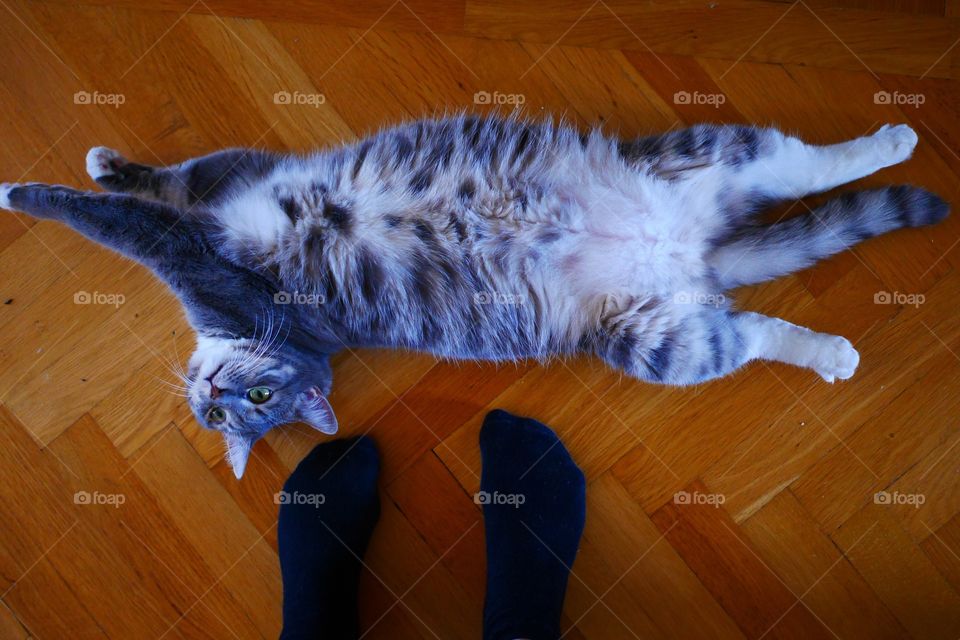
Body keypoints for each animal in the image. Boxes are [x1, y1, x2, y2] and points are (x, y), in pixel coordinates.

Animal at [0, 115, 944, 478]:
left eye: (258, 402)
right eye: (235, 414)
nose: (211, 398)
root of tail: (696, 251)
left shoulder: (208, 223)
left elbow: (126, 209)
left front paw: (40, 187)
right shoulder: (214, 210)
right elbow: (152, 195)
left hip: (712, 158)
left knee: (811, 168)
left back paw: (889, 145)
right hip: (657, 332)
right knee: (744, 326)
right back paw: (826, 342)